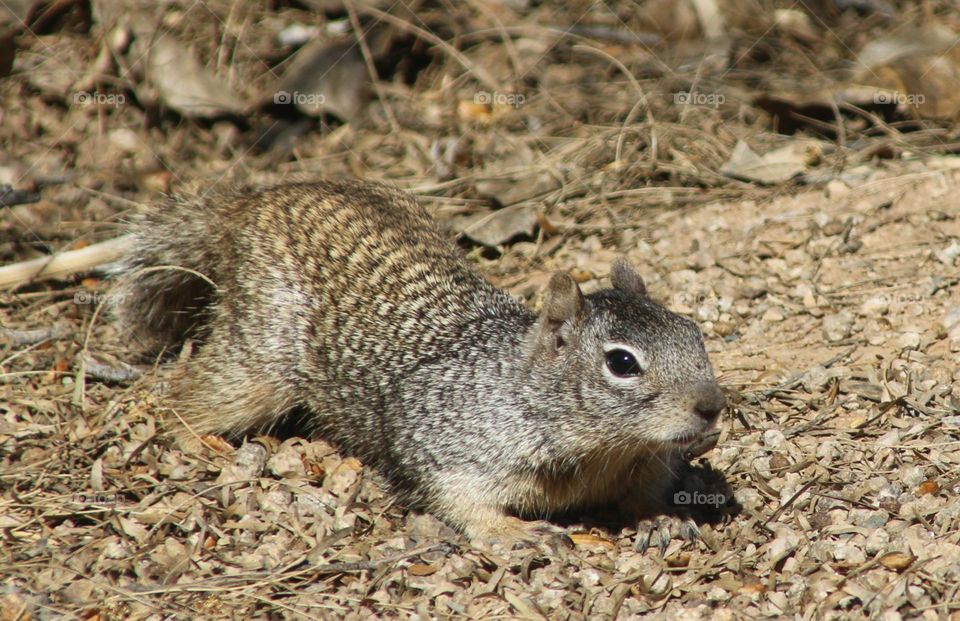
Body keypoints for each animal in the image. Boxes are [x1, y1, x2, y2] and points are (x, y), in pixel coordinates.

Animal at [111, 179, 726, 544]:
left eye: (693, 332)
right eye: (622, 363)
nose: (712, 407)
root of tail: (251, 203)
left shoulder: (645, 461)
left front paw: (660, 519)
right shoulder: (446, 440)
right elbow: (457, 498)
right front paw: (512, 533)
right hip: (256, 356)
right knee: (190, 400)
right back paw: (199, 440)